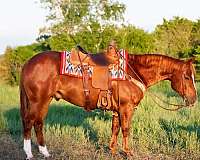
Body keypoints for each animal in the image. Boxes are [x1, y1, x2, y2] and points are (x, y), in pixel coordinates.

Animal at [20, 51, 197, 159]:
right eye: (187, 77)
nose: (194, 99)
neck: (133, 72)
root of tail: (28, 63)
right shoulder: (126, 108)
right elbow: (125, 129)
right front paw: (128, 152)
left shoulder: (118, 109)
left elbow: (115, 128)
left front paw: (112, 150)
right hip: (37, 100)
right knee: (29, 122)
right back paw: (29, 153)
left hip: (46, 100)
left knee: (38, 123)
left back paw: (45, 152)